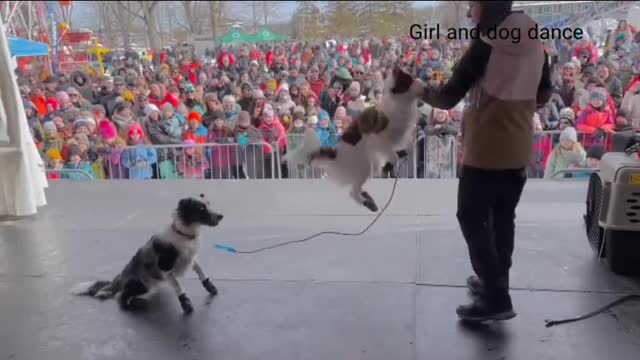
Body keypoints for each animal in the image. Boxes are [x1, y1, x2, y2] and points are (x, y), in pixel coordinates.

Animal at [70, 195, 222, 314]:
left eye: (209, 204)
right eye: (201, 209)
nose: (221, 216)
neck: (183, 234)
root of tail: (119, 279)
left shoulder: (191, 258)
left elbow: (201, 271)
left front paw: (210, 286)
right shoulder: (166, 267)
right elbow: (179, 287)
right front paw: (186, 304)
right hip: (140, 284)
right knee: (121, 296)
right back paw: (133, 303)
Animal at [282, 67, 422, 211]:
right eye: (406, 77)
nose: (396, 68)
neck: (398, 103)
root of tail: (335, 156)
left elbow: (406, 147)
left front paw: (402, 154)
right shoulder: (379, 141)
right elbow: (393, 156)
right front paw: (389, 166)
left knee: (357, 189)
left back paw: (368, 199)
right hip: (364, 166)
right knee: (353, 192)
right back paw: (368, 203)